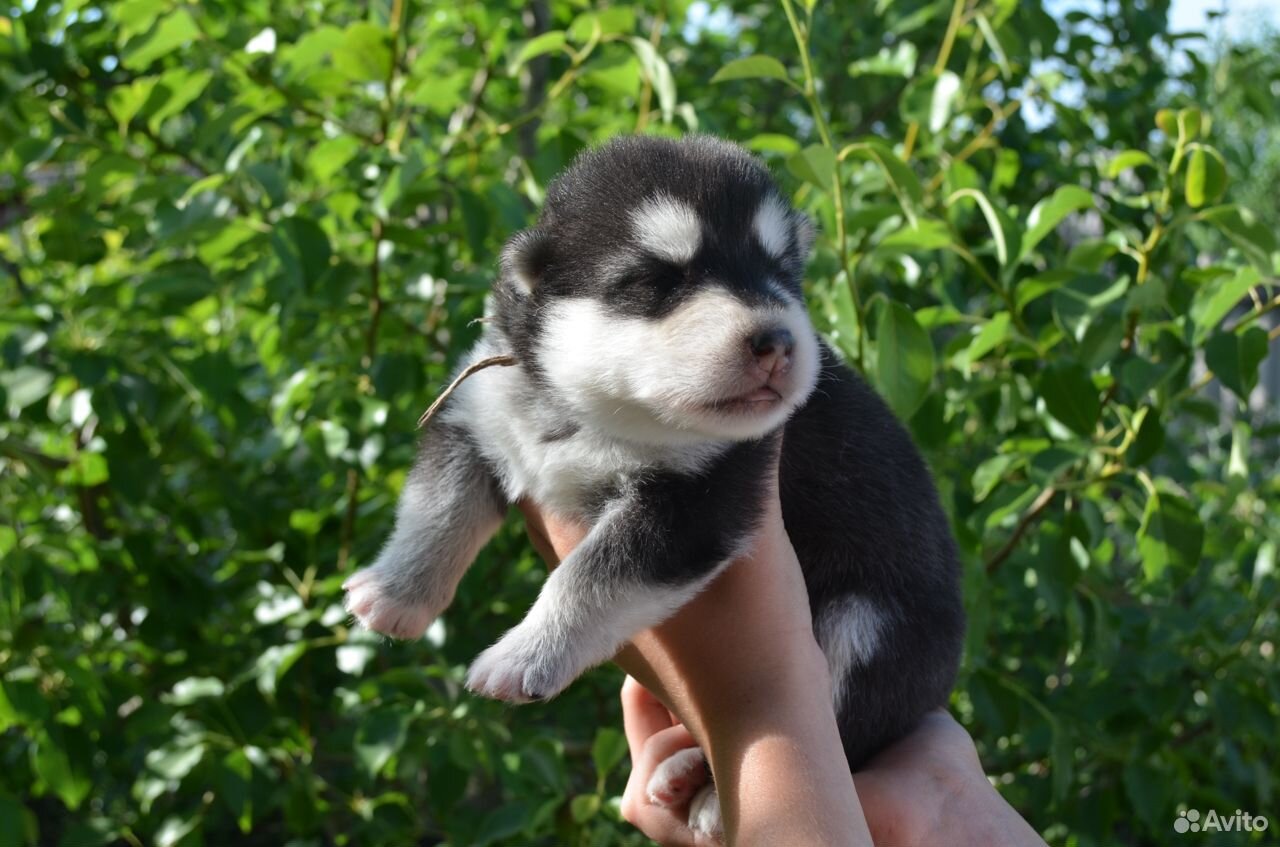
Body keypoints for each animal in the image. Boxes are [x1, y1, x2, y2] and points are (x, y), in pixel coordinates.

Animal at [345, 137, 962, 829]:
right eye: (658, 280)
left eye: (782, 274)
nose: (777, 341)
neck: (595, 416)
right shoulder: (478, 412)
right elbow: (438, 509)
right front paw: (395, 593)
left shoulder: (696, 501)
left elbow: (591, 575)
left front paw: (524, 653)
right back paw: (683, 768)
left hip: (872, 628)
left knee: (847, 728)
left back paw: (714, 795)